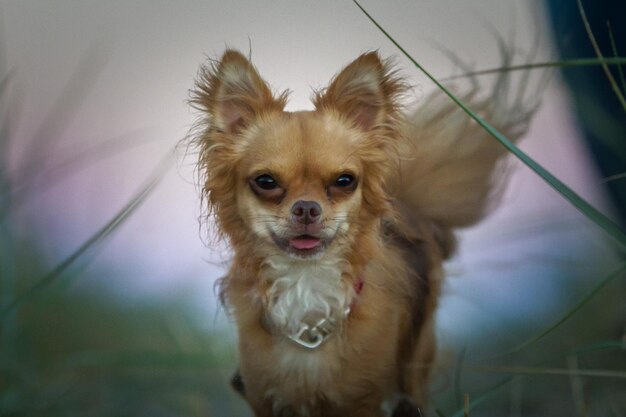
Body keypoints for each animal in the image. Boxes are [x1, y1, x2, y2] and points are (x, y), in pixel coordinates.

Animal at [188, 49, 532, 416]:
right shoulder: (266, 398)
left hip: (414, 366)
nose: (306, 208)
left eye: (344, 181)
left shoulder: (365, 401)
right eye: (266, 181)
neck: (307, 286)